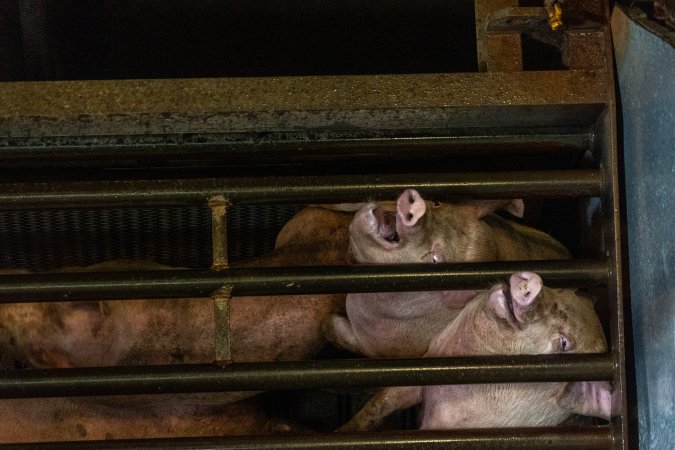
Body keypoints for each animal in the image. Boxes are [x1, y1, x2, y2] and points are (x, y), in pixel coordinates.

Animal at [338, 272, 612, 430]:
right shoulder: (424, 366)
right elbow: (378, 405)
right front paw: (341, 432)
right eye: (560, 291)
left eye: (564, 343)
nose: (534, 281)